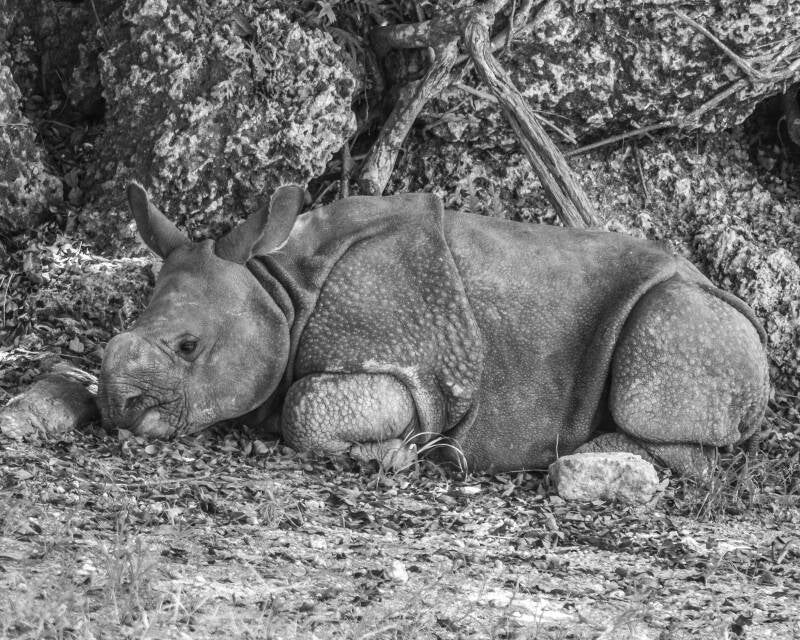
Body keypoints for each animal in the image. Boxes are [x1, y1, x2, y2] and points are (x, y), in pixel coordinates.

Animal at [97, 183, 769, 475]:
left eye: (189, 347)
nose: (115, 408)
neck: (280, 291)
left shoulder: (409, 365)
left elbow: (304, 408)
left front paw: (397, 453)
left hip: (691, 318)